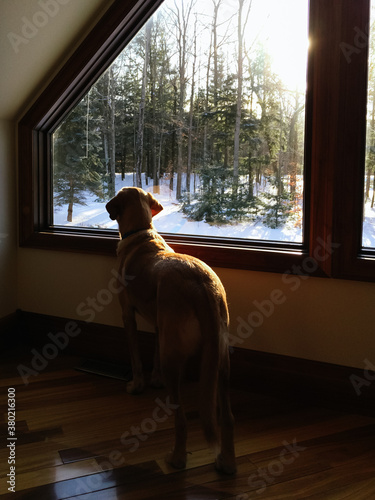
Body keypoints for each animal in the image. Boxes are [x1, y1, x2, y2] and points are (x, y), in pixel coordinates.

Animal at [106, 187, 235, 472]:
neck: (142, 231)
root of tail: (202, 286)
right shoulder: (159, 324)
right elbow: (152, 352)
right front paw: (154, 380)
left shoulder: (127, 314)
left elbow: (136, 358)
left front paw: (138, 385)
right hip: (220, 360)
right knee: (228, 415)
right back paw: (227, 462)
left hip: (174, 358)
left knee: (182, 419)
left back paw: (176, 458)